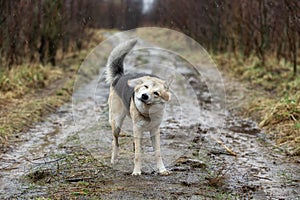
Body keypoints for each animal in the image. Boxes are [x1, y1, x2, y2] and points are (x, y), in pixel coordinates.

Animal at [105, 38, 172, 175]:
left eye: (156, 93)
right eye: (145, 86)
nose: (144, 96)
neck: (147, 111)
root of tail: (120, 76)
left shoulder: (155, 131)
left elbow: (158, 153)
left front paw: (162, 170)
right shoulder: (137, 129)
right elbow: (138, 155)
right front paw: (136, 171)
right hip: (117, 123)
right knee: (115, 141)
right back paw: (114, 159)